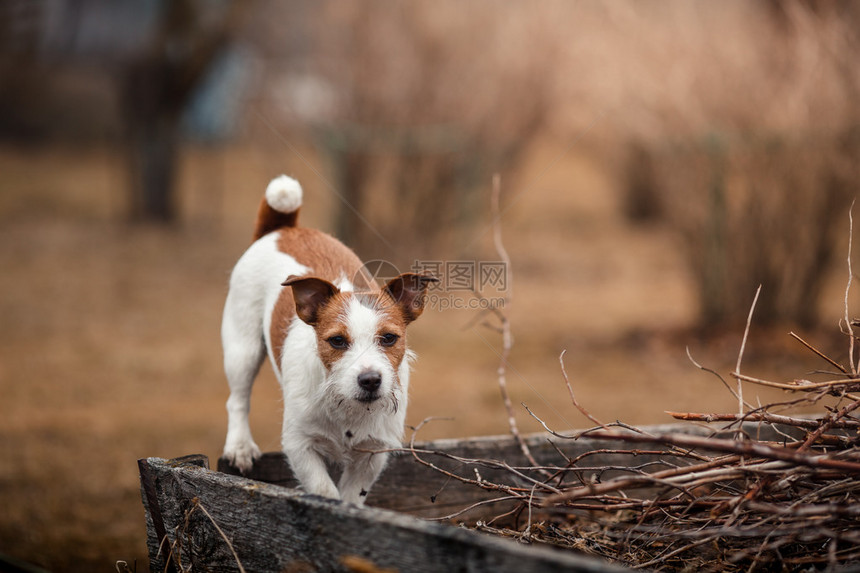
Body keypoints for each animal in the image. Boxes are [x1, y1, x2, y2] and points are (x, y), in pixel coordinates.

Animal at [222, 175, 436, 504]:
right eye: (336, 341)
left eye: (389, 338)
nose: (370, 380)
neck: (346, 404)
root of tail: (284, 228)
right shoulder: (299, 445)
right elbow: (324, 491)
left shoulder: (373, 452)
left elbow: (350, 497)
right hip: (241, 348)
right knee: (238, 399)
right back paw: (240, 446)